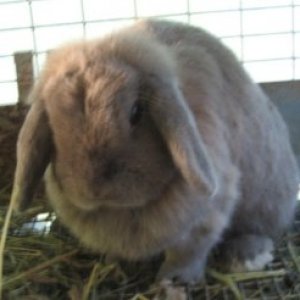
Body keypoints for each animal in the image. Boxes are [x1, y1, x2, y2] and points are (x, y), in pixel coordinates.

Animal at [10, 19, 298, 282]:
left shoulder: (206, 217)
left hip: (265, 202)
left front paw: (172, 280)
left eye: (137, 112)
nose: (94, 189)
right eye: (54, 122)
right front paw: (111, 264)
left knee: (260, 230)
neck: (123, 210)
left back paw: (245, 256)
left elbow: (187, 252)